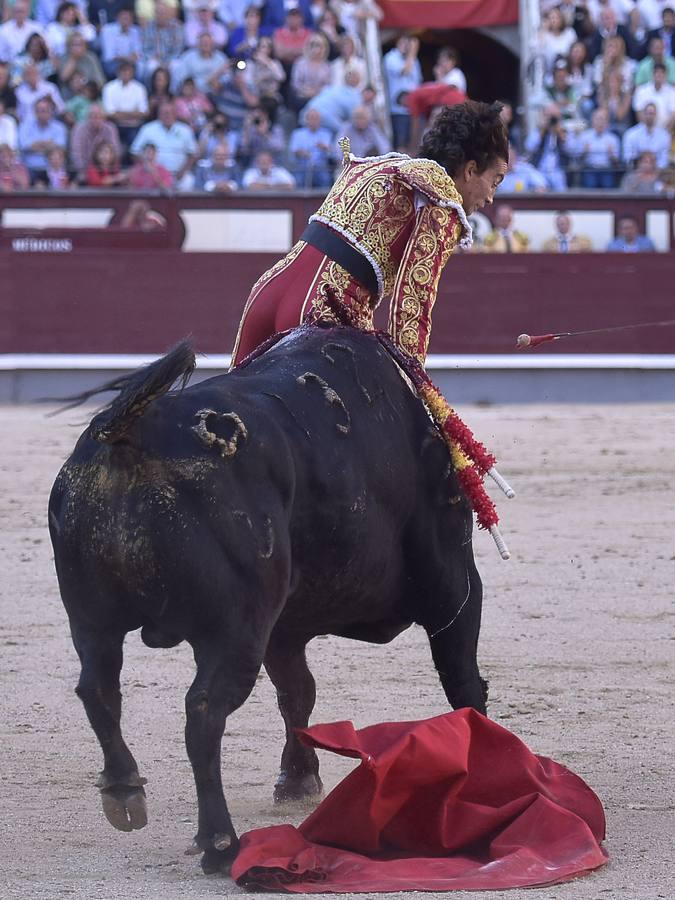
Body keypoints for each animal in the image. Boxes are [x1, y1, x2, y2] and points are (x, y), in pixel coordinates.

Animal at [50, 326, 488, 876]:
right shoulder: (455, 587)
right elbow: (463, 683)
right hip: (235, 629)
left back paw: (125, 792)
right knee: (203, 711)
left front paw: (298, 780)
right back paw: (219, 841)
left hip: (91, 620)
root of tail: (132, 436)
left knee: (99, 688)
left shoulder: (283, 627)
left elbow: (297, 692)